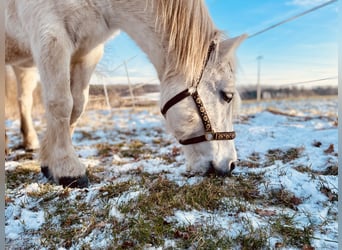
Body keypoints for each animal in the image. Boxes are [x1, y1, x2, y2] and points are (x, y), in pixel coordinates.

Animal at [5, 0, 246, 188]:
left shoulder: (88, 52)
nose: (231, 164)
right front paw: (67, 168)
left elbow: (77, 106)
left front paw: (48, 161)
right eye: (227, 96)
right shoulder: (50, 34)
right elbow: (61, 103)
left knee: (23, 100)